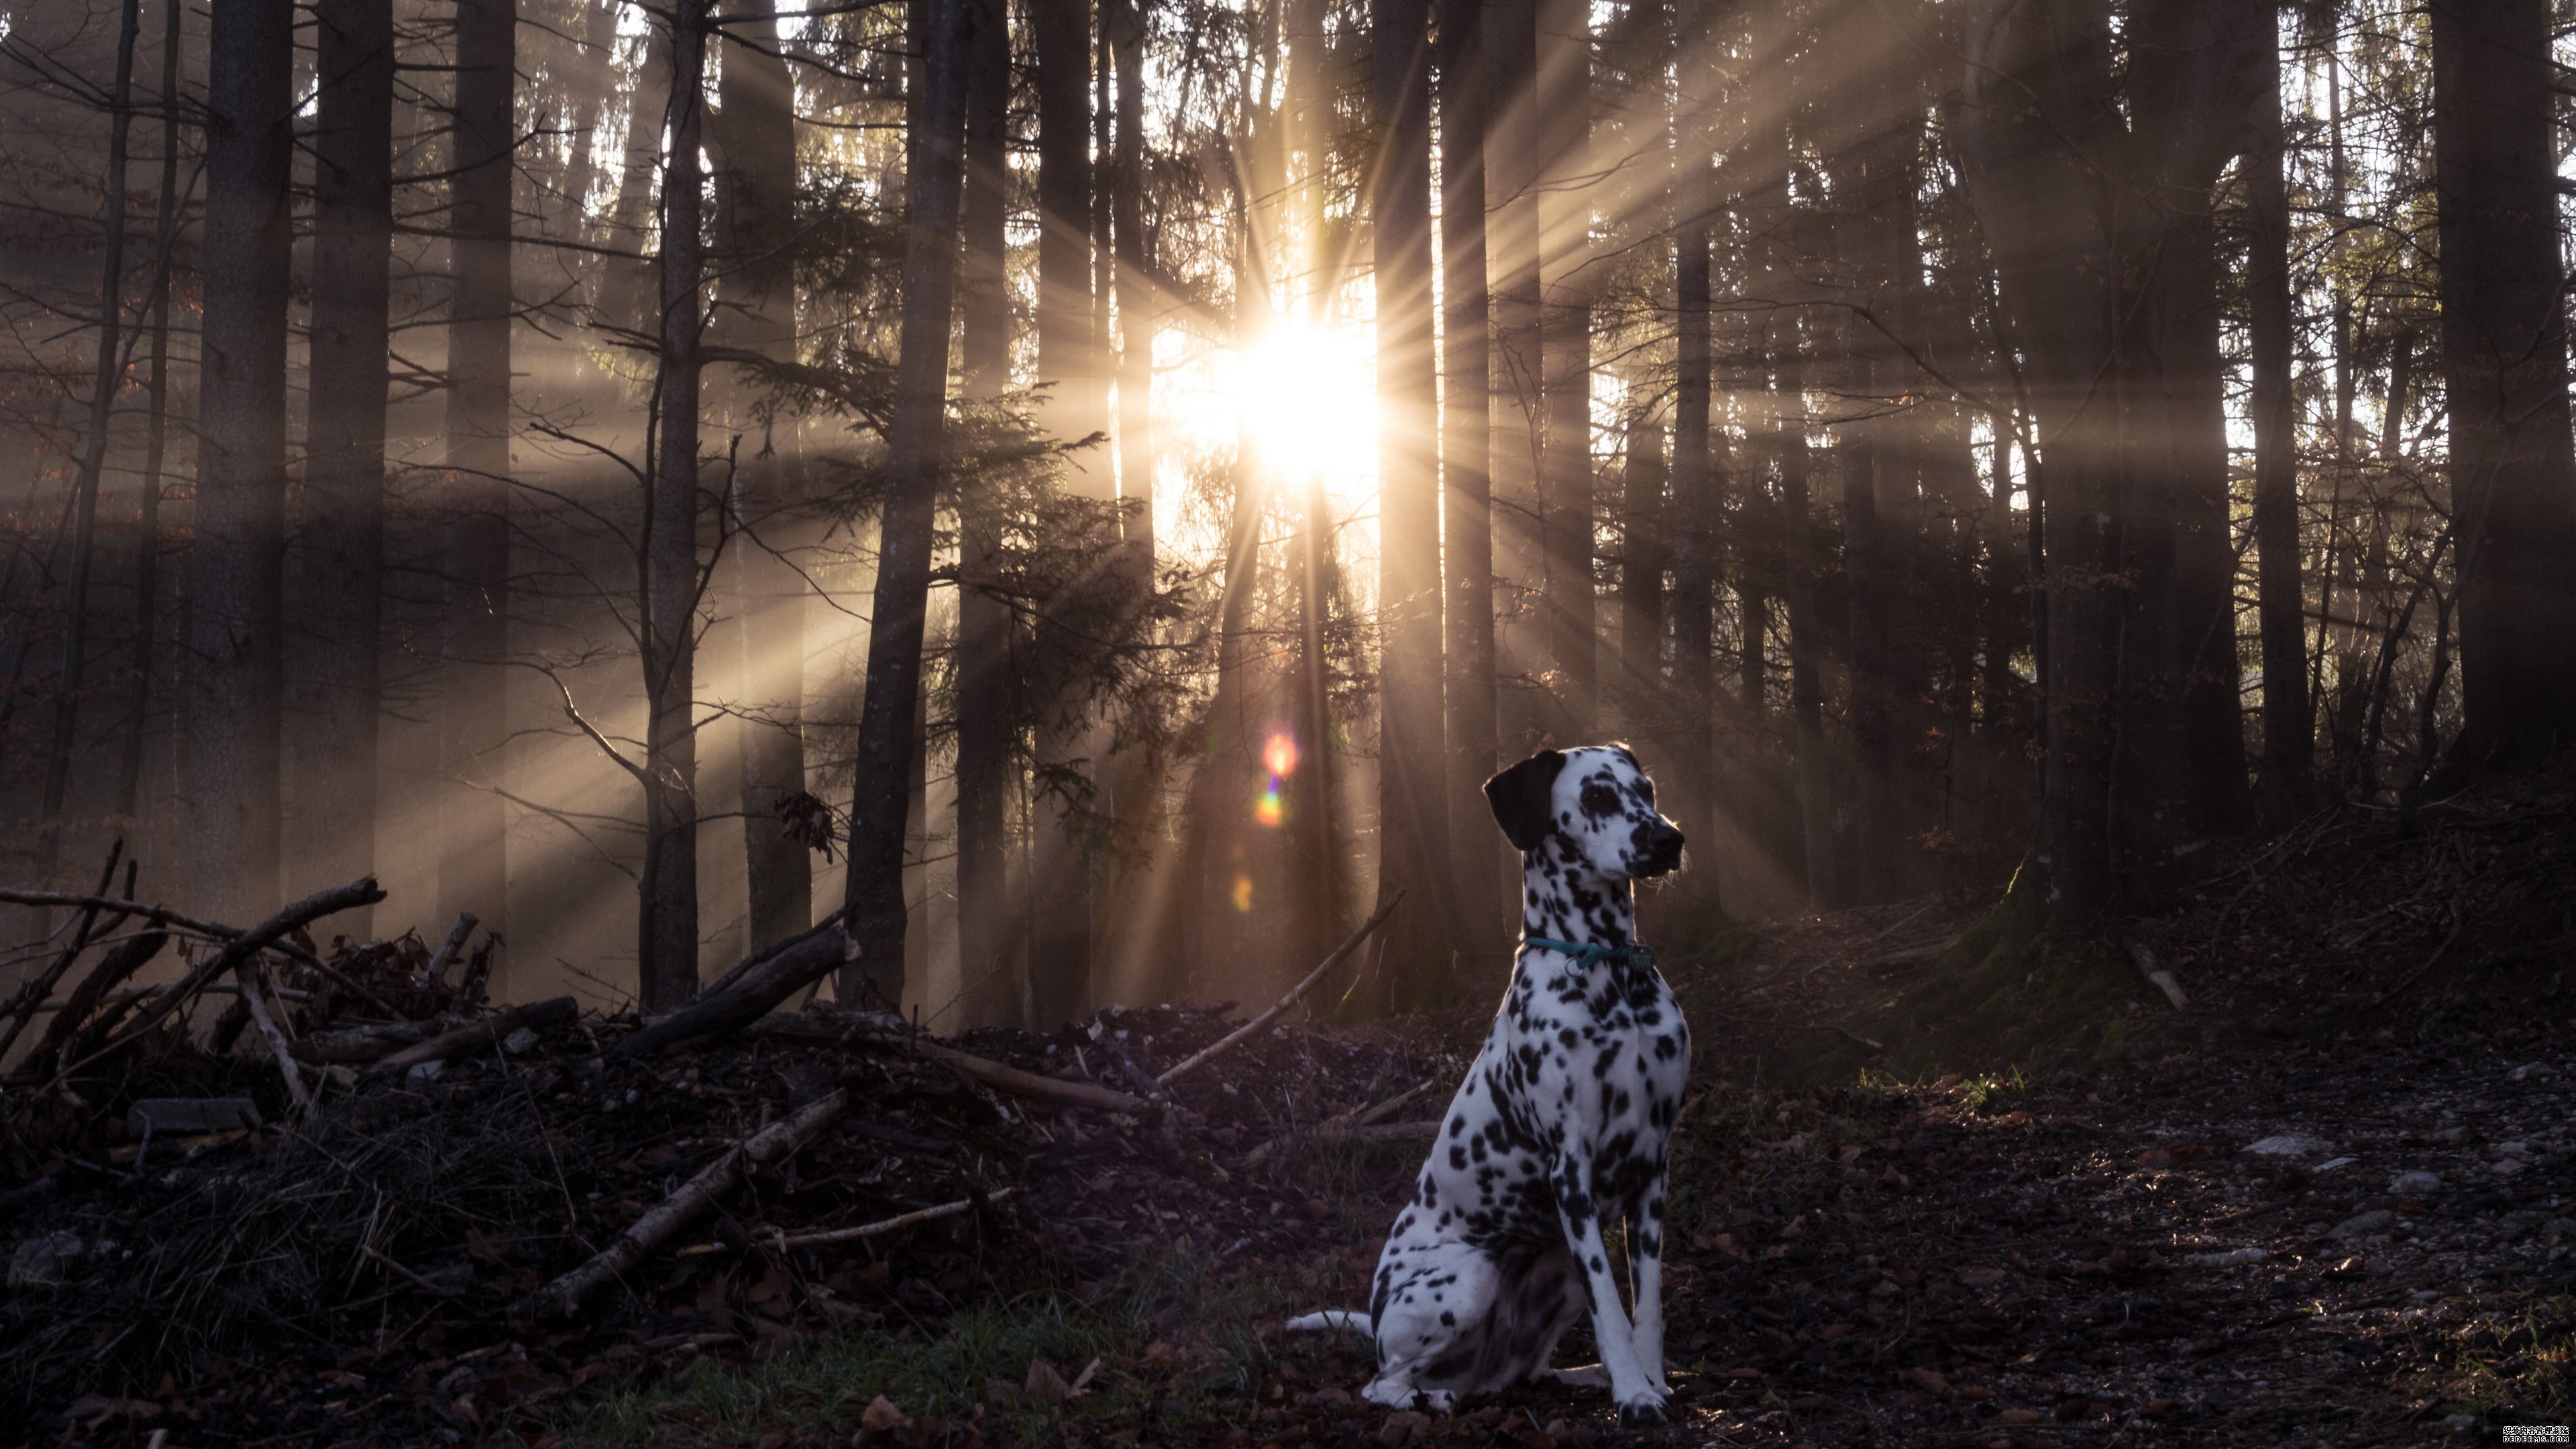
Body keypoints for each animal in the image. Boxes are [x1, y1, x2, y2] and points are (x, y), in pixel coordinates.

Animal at [1288, 742, 1690, 1423]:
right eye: (1597, 796)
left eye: (1648, 791)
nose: (1670, 839)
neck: (1610, 972)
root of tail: (1374, 1319)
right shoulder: (1571, 1171)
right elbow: (1612, 1306)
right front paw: (1635, 1394)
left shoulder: (1653, 1166)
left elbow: (1648, 1304)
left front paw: (1650, 1380)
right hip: (1471, 1277)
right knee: (1382, 1384)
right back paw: (1431, 1397)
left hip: (1555, 1271)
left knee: (1523, 1371)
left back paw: (1583, 1375)